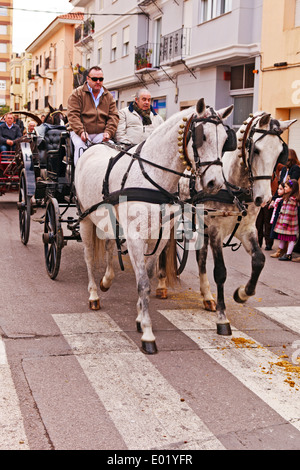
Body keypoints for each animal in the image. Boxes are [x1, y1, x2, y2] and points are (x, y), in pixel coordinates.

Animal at [75, 98, 234, 352]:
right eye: (203, 136)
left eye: (226, 140)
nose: (215, 183)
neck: (152, 177)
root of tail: (92, 146)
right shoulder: (135, 238)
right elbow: (142, 283)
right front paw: (148, 333)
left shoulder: (161, 234)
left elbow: (148, 275)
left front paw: (140, 317)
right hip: (85, 219)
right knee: (89, 257)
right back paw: (93, 295)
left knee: (109, 245)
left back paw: (107, 280)